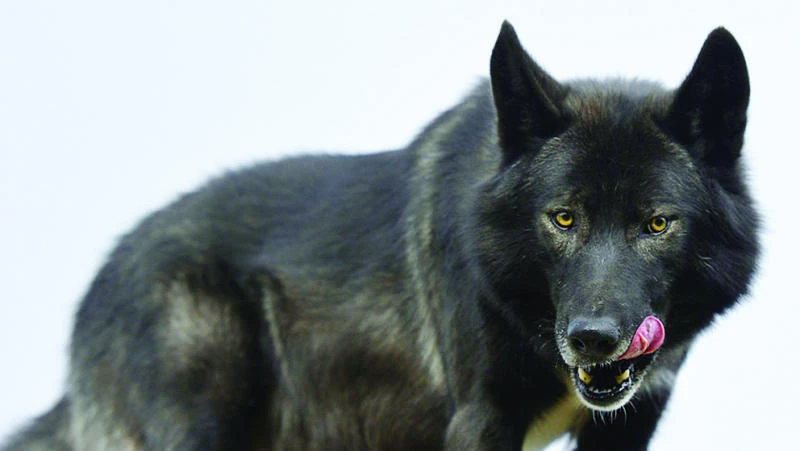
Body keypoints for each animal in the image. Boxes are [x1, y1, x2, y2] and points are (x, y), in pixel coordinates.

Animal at [3, 21, 757, 450]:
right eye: (563, 217)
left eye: (657, 223)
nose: (594, 338)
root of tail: (98, 283)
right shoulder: (481, 421)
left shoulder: (629, 425)